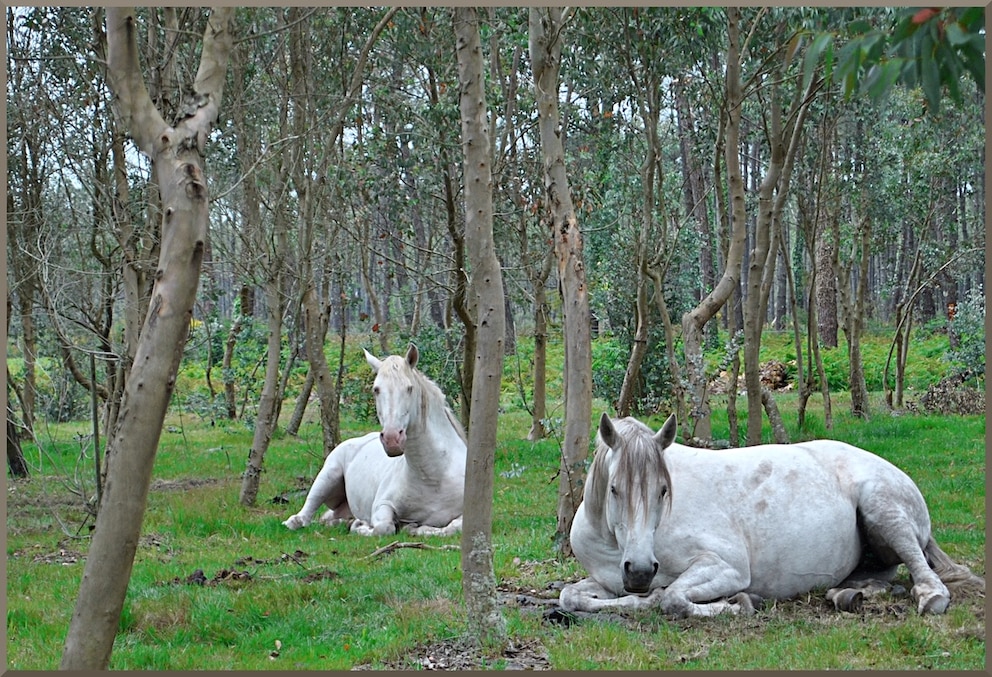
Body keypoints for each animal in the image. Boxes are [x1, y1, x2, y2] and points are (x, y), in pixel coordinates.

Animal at [283, 344, 466, 536]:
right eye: (376, 389)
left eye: (409, 388)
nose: (392, 439)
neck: (433, 476)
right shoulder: (382, 505)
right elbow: (383, 528)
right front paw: (360, 526)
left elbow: (453, 528)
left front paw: (415, 528)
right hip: (328, 475)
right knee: (306, 512)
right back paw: (298, 522)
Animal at [560, 413, 984, 618]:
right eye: (615, 489)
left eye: (663, 491)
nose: (639, 571)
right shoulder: (608, 580)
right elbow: (571, 597)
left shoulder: (728, 567)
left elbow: (672, 599)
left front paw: (738, 604)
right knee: (878, 577)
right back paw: (848, 595)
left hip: (884, 510)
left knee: (922, 570)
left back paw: (929, 597)